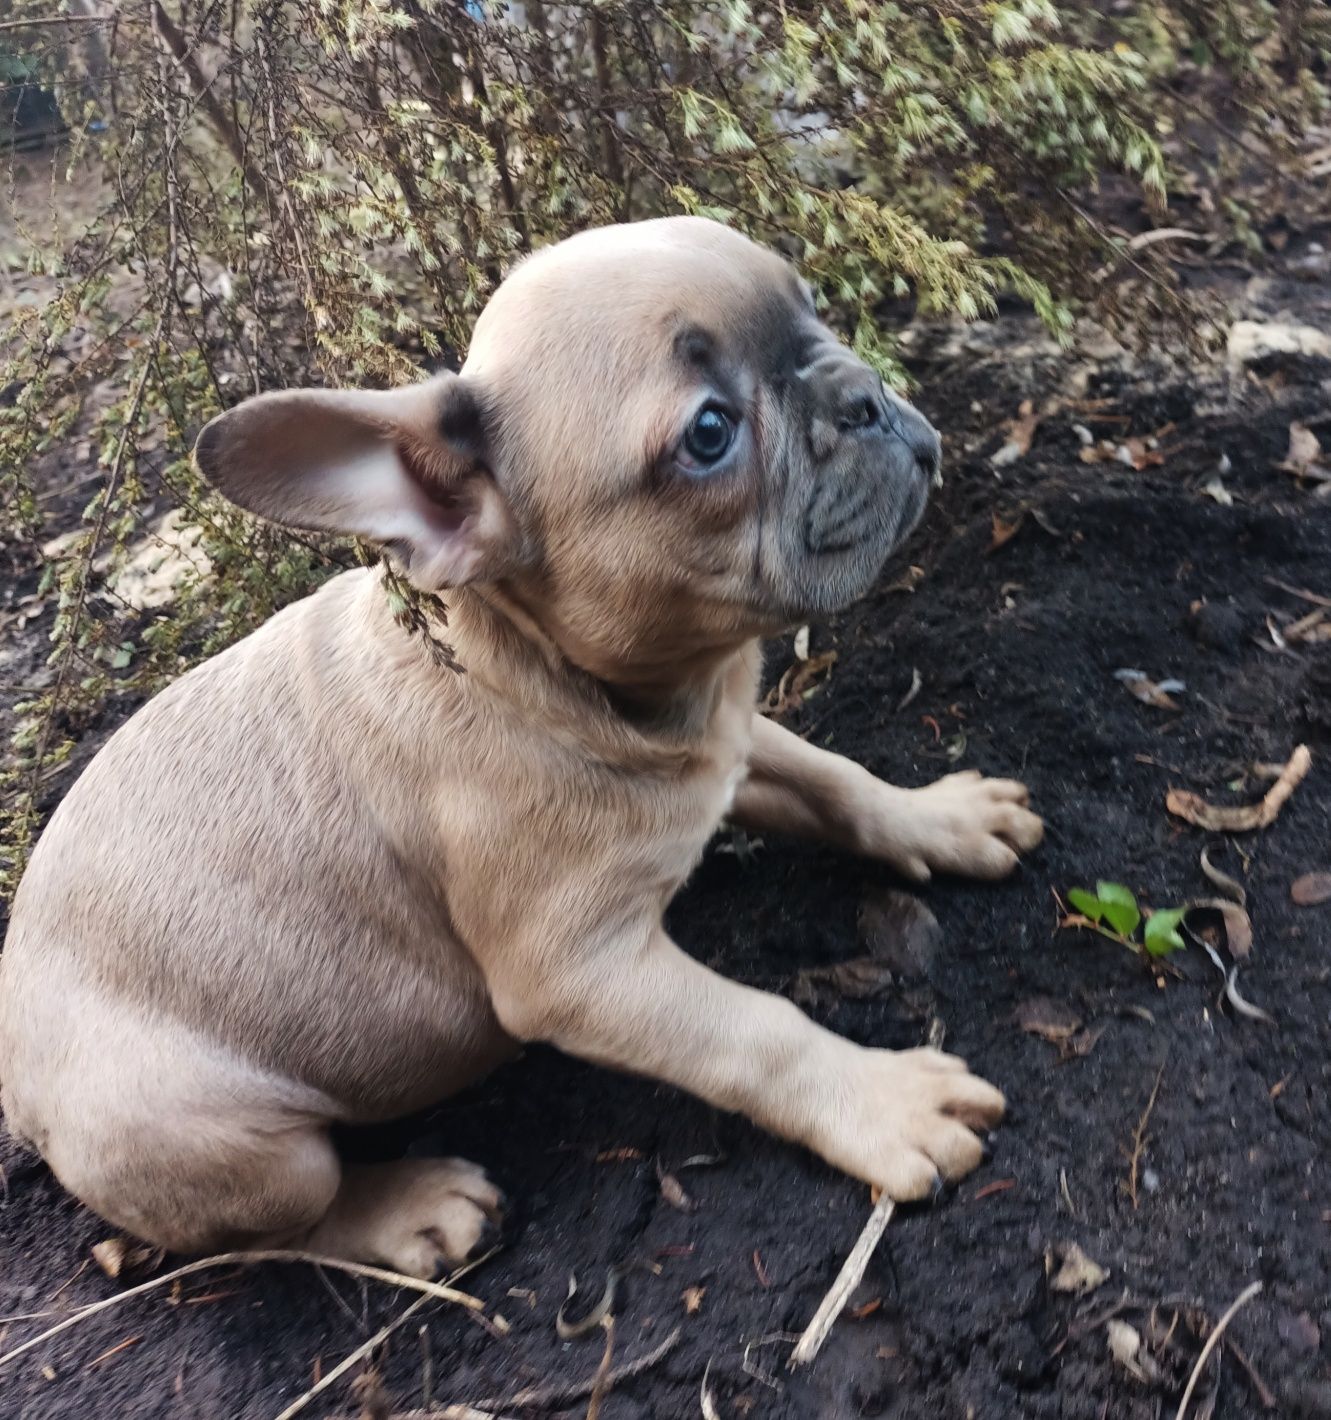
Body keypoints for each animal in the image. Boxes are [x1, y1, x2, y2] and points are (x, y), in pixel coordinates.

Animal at [0, 218, 1039, 1278]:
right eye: (708, 434)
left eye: (812, 306)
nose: (862, 392)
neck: (570, 681)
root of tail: (22, 1098)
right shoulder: (583, 975)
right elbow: (755, 1031)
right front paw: (884, 1102)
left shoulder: (734, 741)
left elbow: (836, 780)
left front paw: (941, 818)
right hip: (234, 1146)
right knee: (278, 1230)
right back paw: (411, 1208)